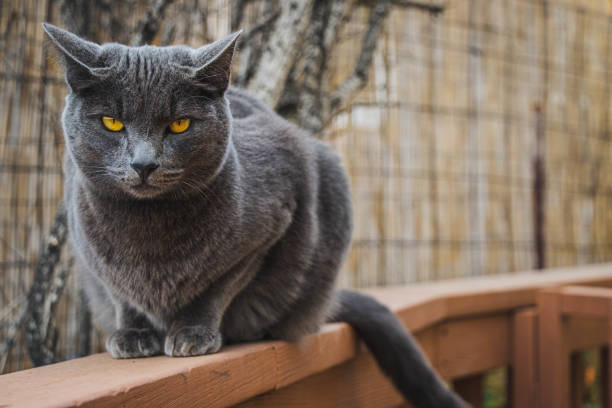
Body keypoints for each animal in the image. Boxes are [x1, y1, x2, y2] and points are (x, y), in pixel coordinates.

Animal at [43, 23, 466, 408]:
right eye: (112, 122)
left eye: (180, 124)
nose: (143, 164)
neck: (148, 226)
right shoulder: (91, 255)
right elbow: (122, 294)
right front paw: (132, 334)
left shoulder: (273, 221)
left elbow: (220, 285)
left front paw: (194, 332)